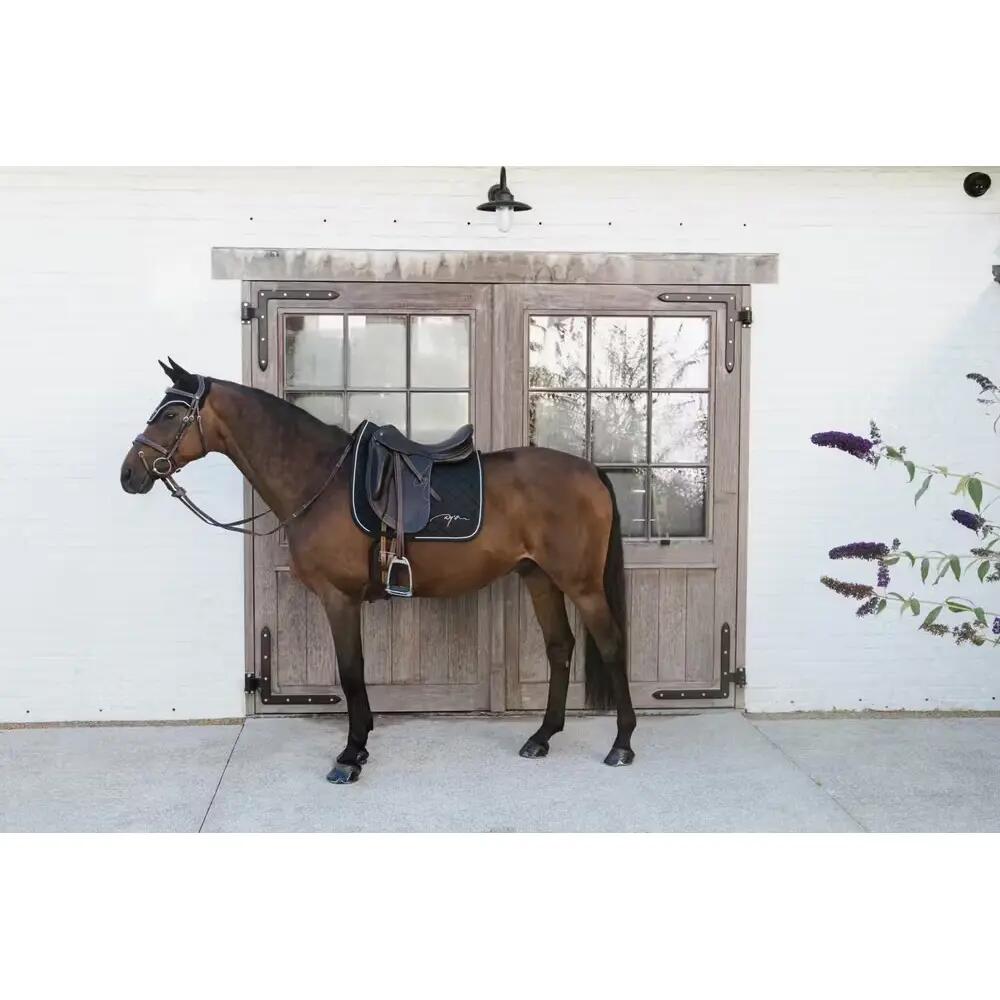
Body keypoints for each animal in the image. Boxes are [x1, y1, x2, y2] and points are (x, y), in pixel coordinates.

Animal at [120, 358, 636, 783]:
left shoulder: (339, 598)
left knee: (612, 646)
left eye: (169, 415)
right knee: (560, 648)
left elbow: (351, 671)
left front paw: (350, 755)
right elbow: (355, 672)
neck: (319, 479)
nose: (129, 474)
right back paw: (542, 737)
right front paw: (361, 745)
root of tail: (591, 471)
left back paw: (622, 745)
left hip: (582, 585)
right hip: (539, 577)